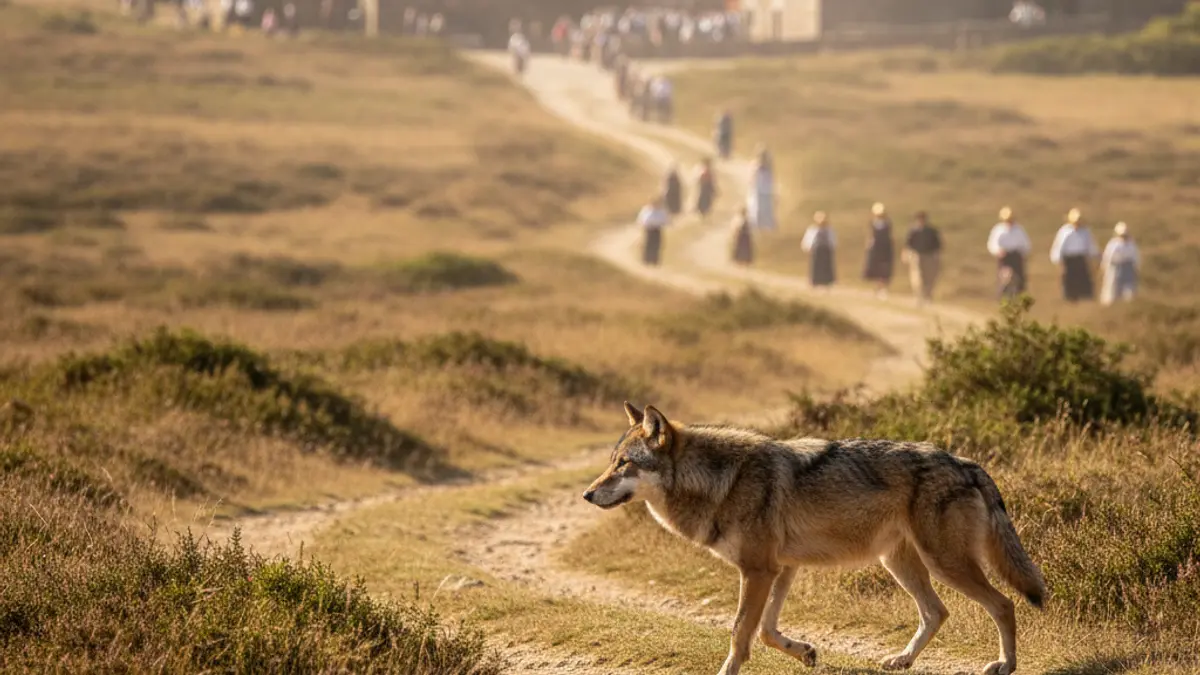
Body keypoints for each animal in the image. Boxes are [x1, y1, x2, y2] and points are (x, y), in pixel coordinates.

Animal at [583, 403, 1045, 675]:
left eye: (623, 465)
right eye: (611, 462)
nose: (587, 494)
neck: (720, 482)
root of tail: (968, 463)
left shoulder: (758, 570)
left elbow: (740, 630)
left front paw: (728, 671)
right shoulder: (781, 569)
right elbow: (766, 631)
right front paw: (805, 652)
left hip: (943, 563)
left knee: (1003, 604)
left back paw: (1005, 664)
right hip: (900, 564)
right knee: (937, 612)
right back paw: (902, 660)